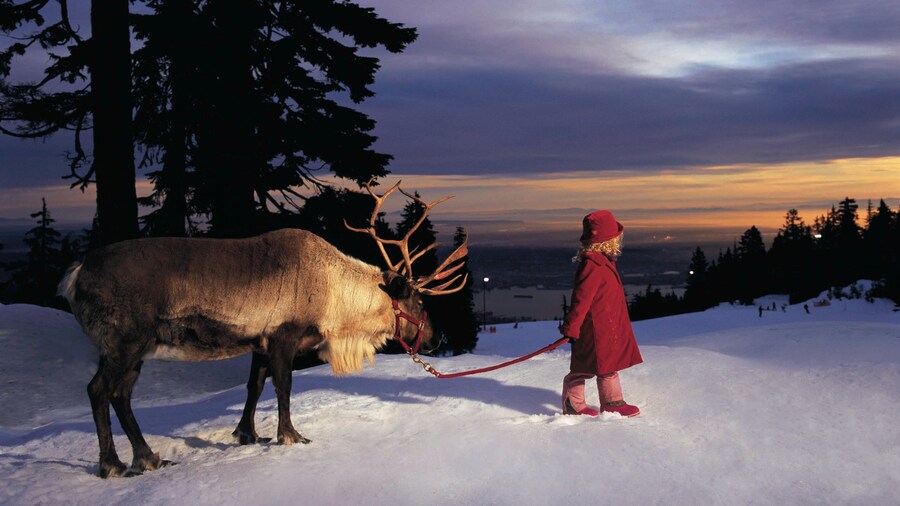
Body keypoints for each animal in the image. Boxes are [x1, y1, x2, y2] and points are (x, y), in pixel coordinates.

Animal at [58, 180, 468, 478]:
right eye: (419, 303)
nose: (437, 339)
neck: (334, 297)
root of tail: (75, 273)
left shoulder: (259, 342)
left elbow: (253, 386)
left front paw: (247, 434)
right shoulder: (285, 336)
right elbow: (283, 387)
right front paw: (291, 436)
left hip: (136, 350)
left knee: (121, 395)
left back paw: (147, 458)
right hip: (123, 342)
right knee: (99, 390)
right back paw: (112, 464)